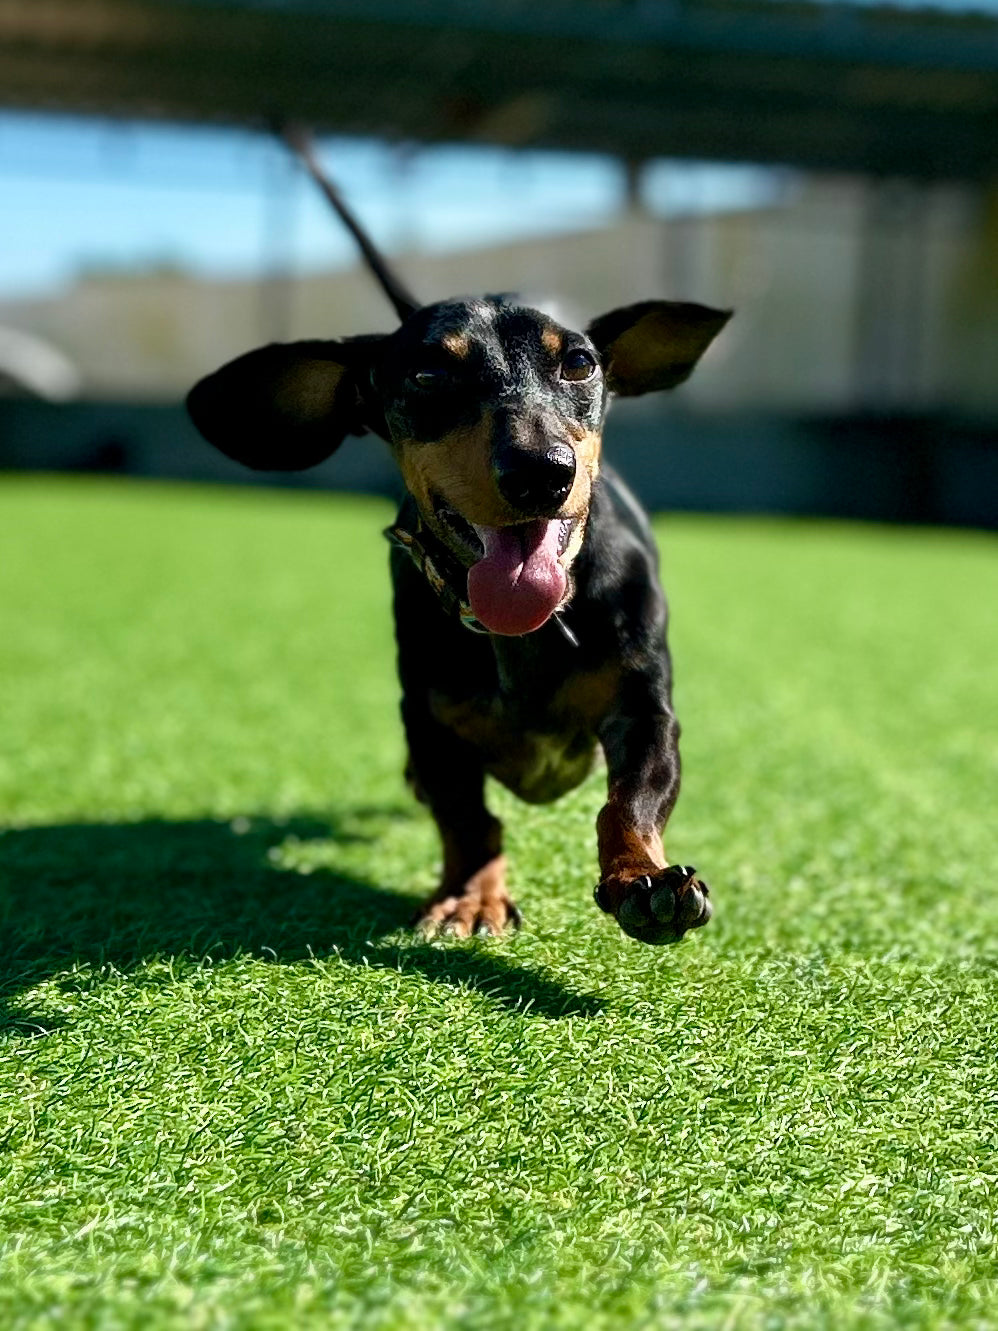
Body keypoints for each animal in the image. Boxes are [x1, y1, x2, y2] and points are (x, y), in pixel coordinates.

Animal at [188, 140, 734, 942]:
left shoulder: (645, 707)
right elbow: (469, 819)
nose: (541, 472)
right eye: (426, 371)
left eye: (578, 362)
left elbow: (628, 801)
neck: (524, 630)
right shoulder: (430, 725)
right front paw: (472, 895)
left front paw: (642, 878)